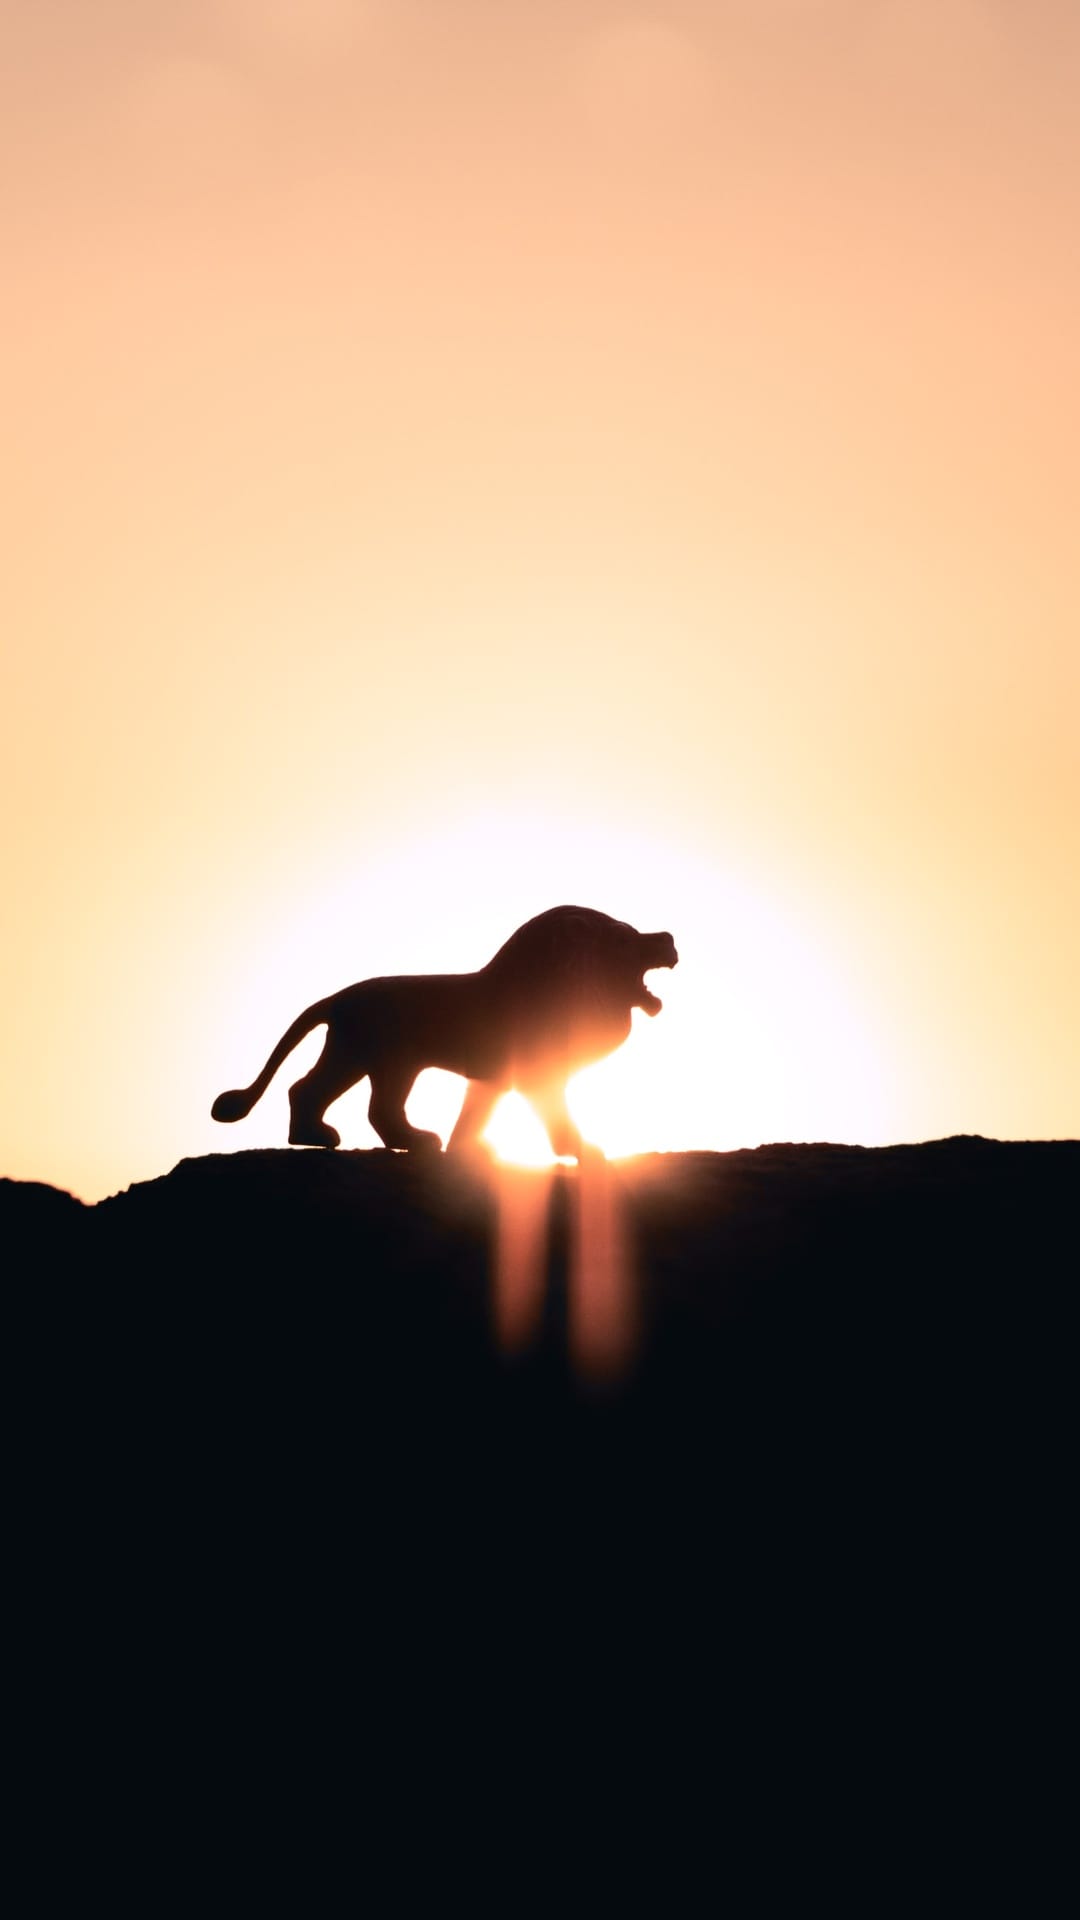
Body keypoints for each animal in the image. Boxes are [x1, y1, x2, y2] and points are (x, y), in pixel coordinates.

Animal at [211, 906, 678, 1160]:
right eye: (624, 937)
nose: (669, 937)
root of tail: (336, 997)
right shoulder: (536, 1075)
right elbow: (555, 1114)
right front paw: (580, 1149)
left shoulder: (493, 1079)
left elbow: (474, 1113)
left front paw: (467, 1150)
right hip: (381, 1057)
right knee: (360, 1103)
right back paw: (385, 1140)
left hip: (365, 1057)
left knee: (325, 1094)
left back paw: (323, 1137)